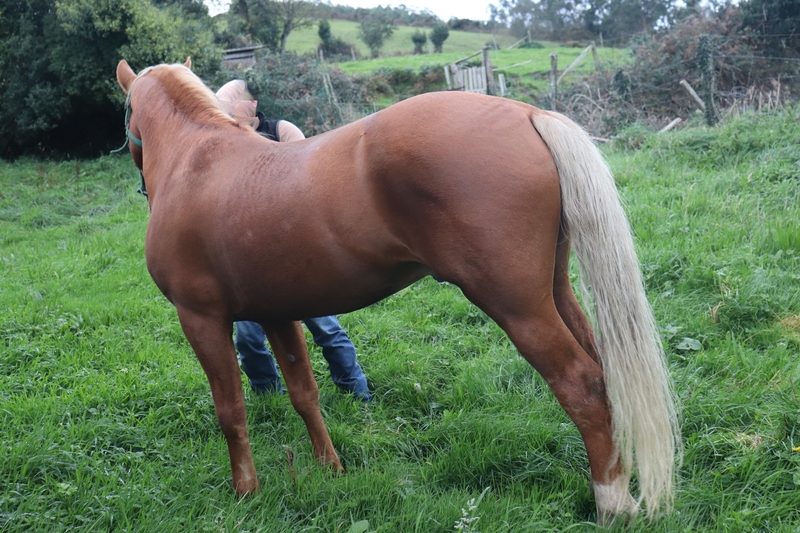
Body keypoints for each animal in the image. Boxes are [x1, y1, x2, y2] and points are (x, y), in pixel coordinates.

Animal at [115, 58, 679, 524]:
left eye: (126, 115)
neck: (198, 162)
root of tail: (526, 113)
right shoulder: (278, 314)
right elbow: (304, 394)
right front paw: (331, 468)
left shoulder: (201, 318)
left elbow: (230, 410)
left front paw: (245, 492)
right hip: (555, 293)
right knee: (604, 371)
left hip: (517, 306)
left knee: (581, 384)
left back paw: (612, 502)